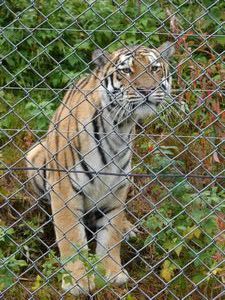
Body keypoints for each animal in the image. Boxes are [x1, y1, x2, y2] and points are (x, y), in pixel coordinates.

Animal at [25, 41, 174, 296]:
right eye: (126, 71)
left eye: (154, 68)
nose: (147, 90)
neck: (120, 128)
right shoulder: (64, 189)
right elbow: (71, 238)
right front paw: (77, 282)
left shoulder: (118, 187)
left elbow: (111, 236)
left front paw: (112, 274)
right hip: (35, 156)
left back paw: (128, 228)